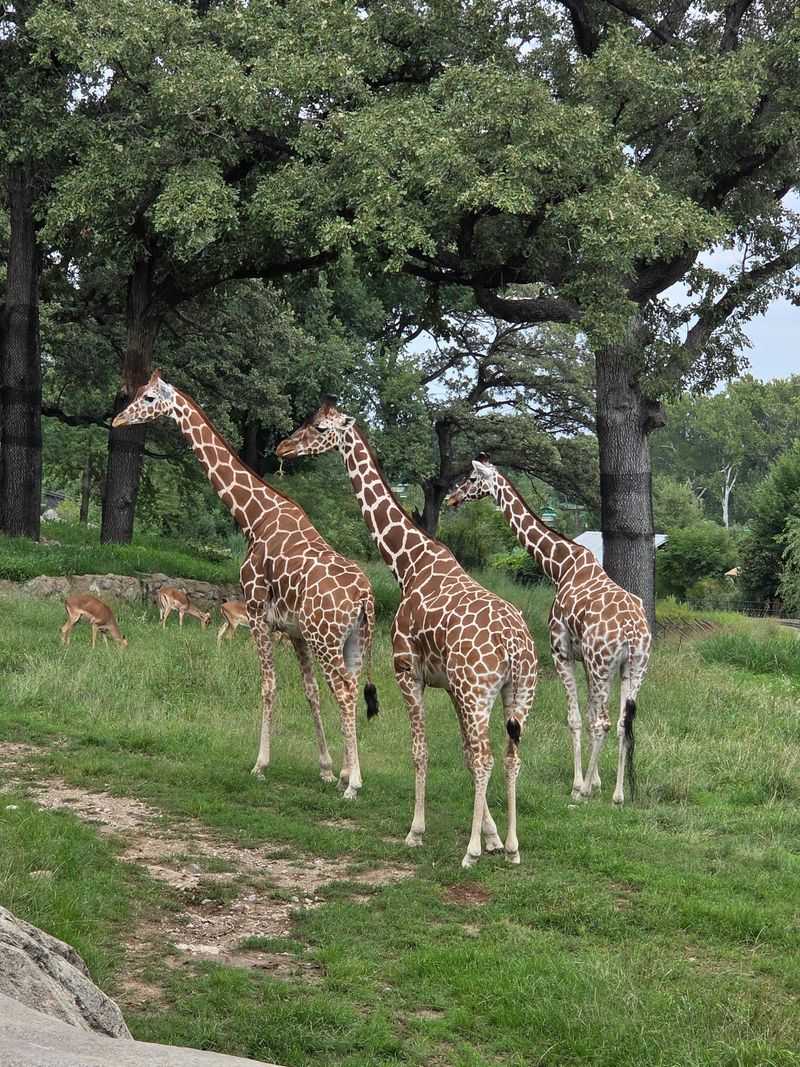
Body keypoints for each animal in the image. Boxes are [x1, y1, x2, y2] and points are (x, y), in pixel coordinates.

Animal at [112, 371, 379, 798]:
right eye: (137, 394)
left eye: (149, 397)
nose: (118, 419)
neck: (254, 516)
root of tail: (366, 597)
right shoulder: (294, 631)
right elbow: (310, 692)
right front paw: (325, 768)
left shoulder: (256, 613)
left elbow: (268, 686)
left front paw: (260, 764)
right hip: (353, 640)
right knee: (349, 689)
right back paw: (348, 774)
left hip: (326, 639)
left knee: (345, 691)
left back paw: (353, 784)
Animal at [277, 398, 538, 868]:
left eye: (319, 427)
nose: (283, 446)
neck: (409, 564)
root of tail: (514, 646)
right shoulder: (450, 687)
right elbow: (464, 754)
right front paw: (492, 836)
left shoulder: (407, 672)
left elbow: (421, 752)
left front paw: (417, 831)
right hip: (518, 693)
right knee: (509, 757)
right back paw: (512, 848)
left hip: (479, 692)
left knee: (489, 757)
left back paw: (469, 853)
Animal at [447, 457, 651, 805]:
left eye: (472, 478)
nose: (451, 497)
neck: (560, 566)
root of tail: (632, 631)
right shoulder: (586, 661)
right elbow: (590, 713)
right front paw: (598, 782)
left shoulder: (561, 652)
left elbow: (576, 718)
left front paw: (580, 784)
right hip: (634, 667)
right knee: (622, 722)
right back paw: (619, 794)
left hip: (604, 664)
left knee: (604, 722)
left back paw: (583, 792)